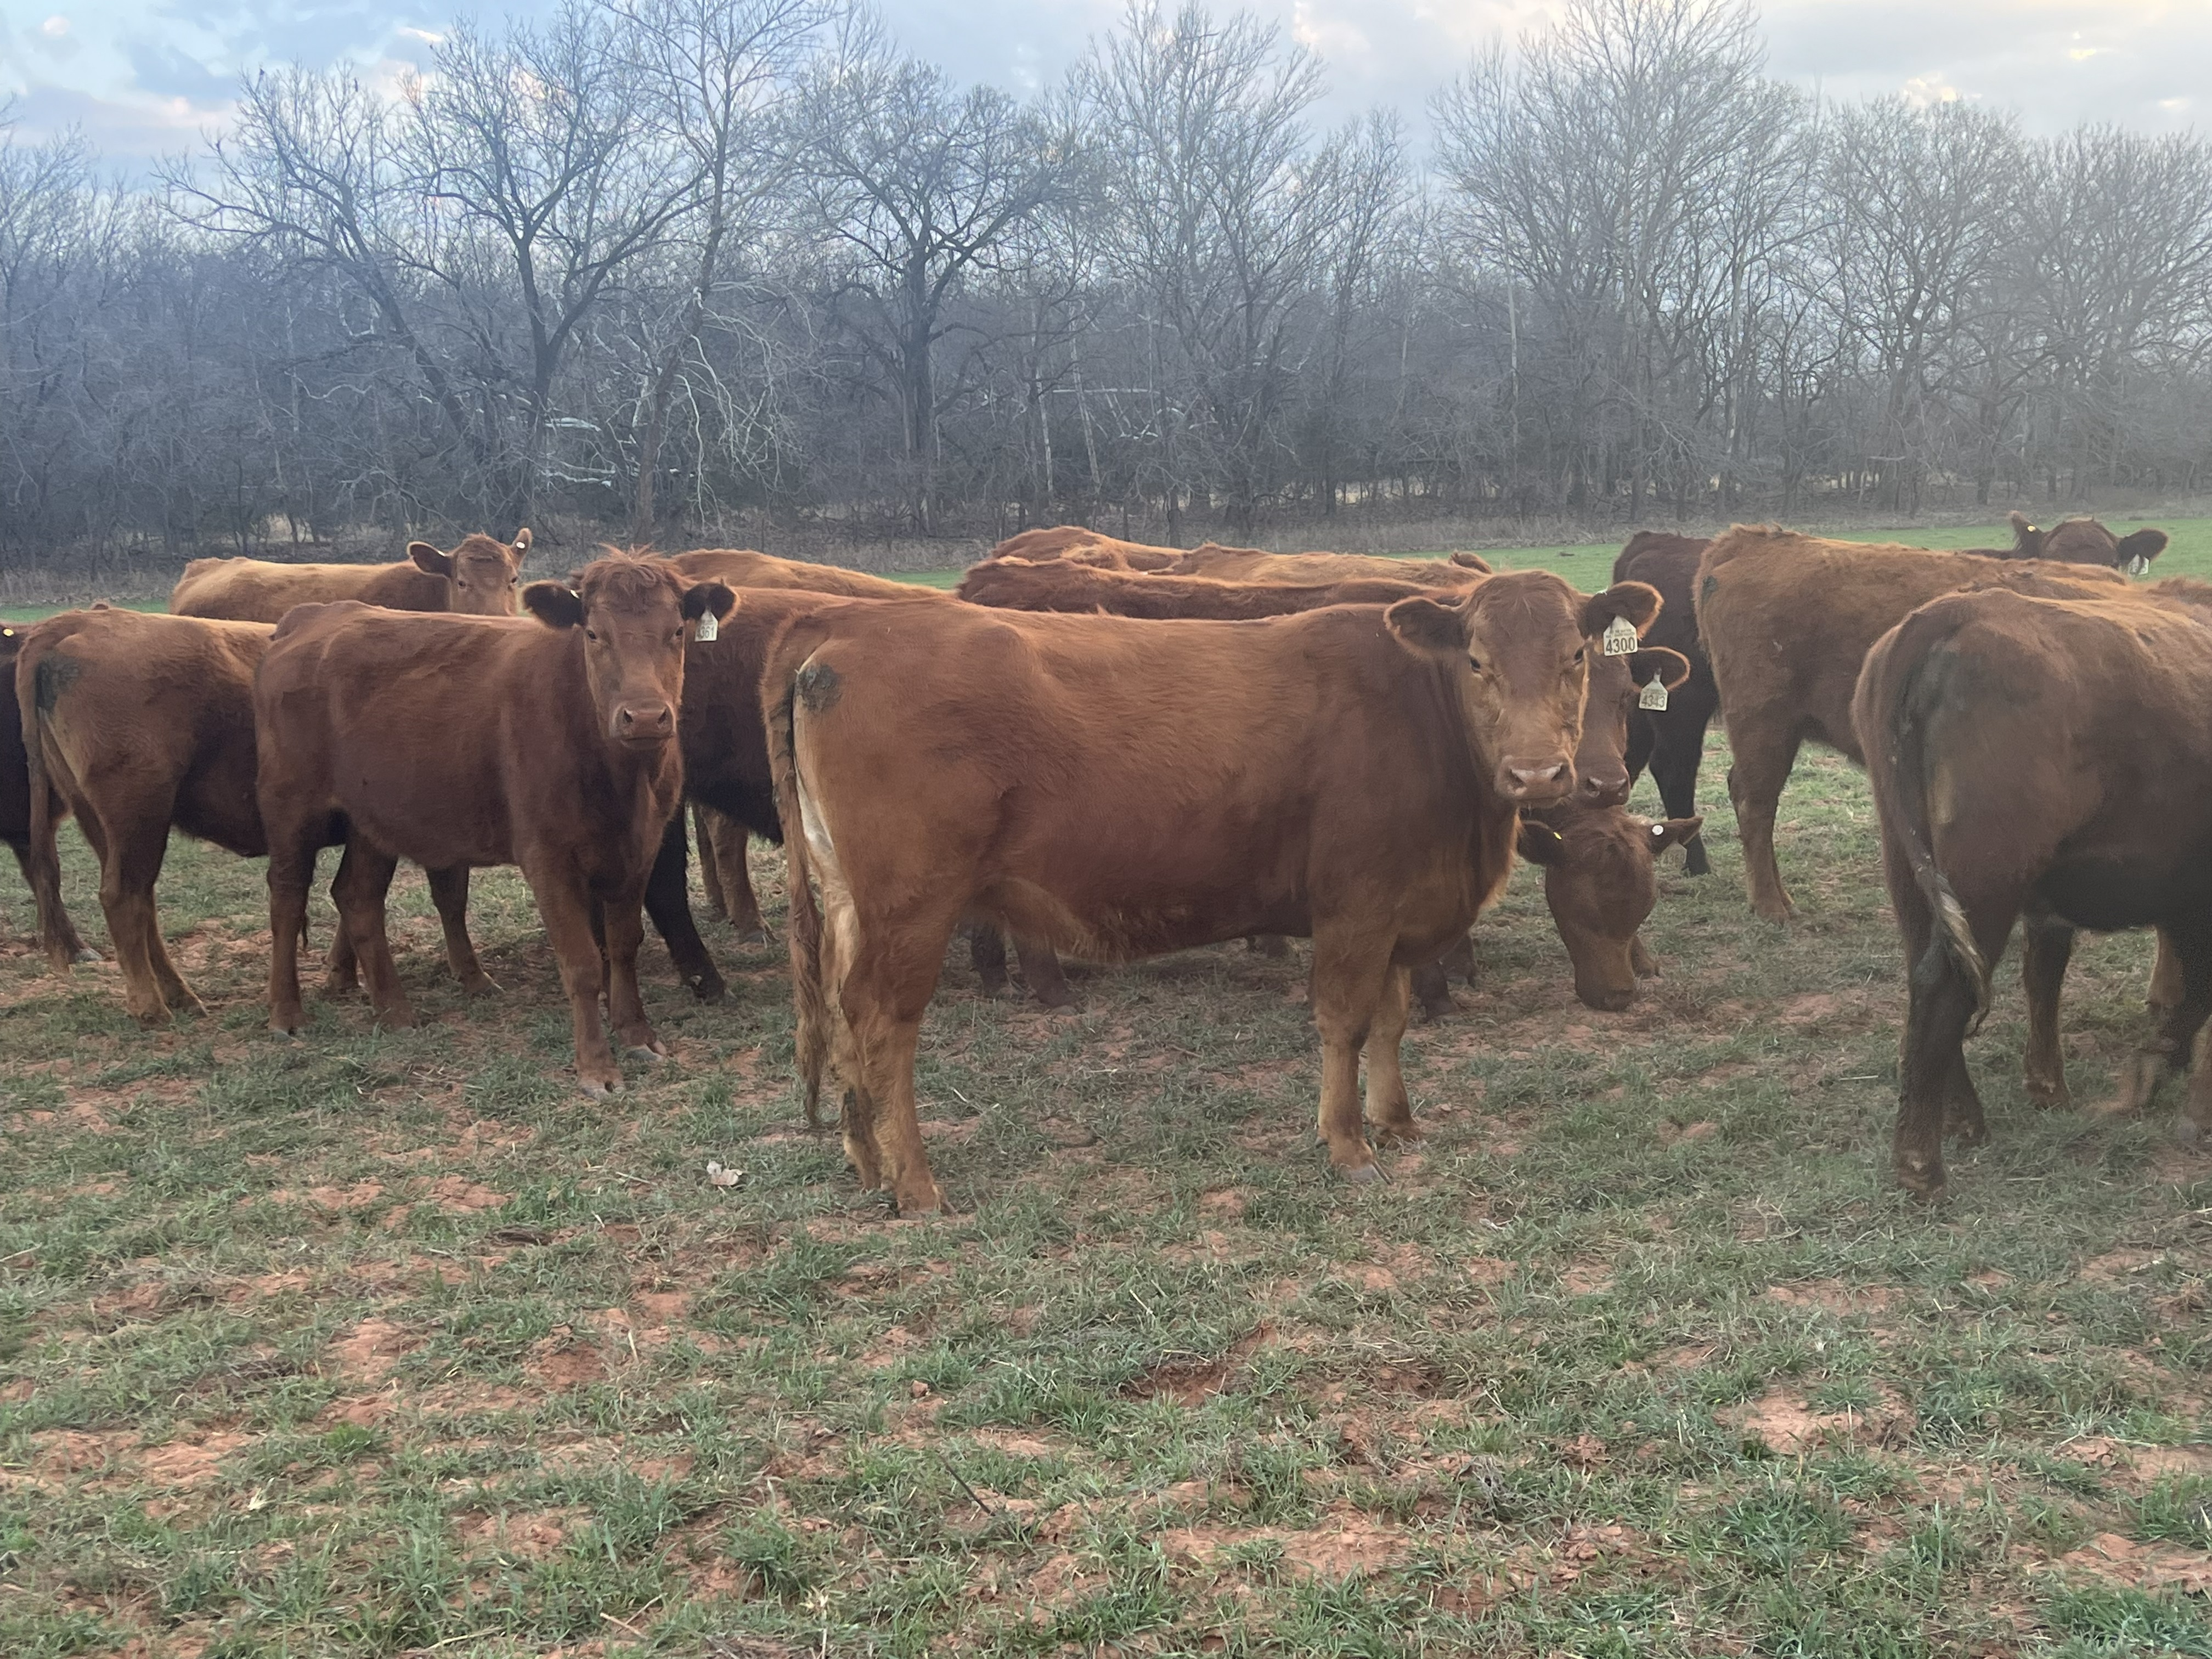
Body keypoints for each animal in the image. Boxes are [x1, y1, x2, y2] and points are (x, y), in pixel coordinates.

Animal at [13, 608, 487, 1021]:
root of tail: (75, 622)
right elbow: (445, 895)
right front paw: (471, 977)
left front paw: (341, 977)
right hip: (137, 815)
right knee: (122, 897)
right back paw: (153, 1008)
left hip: (106, 825)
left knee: (141, 899)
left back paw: (180, 995)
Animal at [255, 555, 735, 1095]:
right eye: (593, 634)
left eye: (677, 631)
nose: (647, 717)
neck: (623, 781)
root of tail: (314, 617)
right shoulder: (547, 856)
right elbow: (583, 962)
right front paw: (596, 1066)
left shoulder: (639, 849)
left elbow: (624, 946)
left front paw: (637, 1036)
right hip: (290, 805)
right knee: (287, 897)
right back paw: (286, 1013)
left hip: (373, 819)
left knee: (358, 898)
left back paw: (396, 1012)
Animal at [765, 569, 1662, 1215]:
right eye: (1476, 661)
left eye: (1576, 657)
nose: (1539, 774)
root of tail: (846, 630)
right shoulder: (1357, 905)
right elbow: (1345, 1022)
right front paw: (1347, 1145)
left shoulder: (1398, 908)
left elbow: (1393, 1020)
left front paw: (1398, 1120)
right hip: (910, 910)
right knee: (883, 1027)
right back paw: (915, 1185)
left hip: (851, 905)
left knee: (843, 1021)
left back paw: (867, 1162)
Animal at [1854, 586, 2212, 1200]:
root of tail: (1951, 612)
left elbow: (2048, 975)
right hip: (1989, 871)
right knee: (1943, 986)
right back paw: (1921, 1167)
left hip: (1911, 865)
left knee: (1929, 971)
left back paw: (1966, 1118)